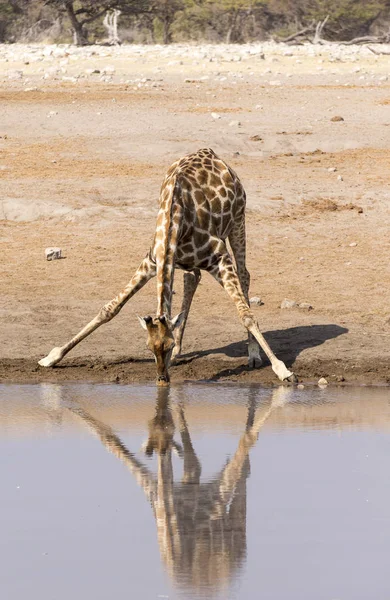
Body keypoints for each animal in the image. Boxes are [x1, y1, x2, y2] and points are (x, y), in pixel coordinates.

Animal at [38, 149, 296, 384]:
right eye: (148, 347)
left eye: (168, 346)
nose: (162, 378)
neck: (174, 220)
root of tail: (213, 154)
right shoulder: (152, 262)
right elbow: (110, 309)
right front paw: (52, 357)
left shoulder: (220, 258)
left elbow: (246, 315)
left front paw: (282, 370)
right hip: (188, 260)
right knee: (192, 278)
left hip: (238, 222)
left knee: (244, 275)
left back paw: (253, 356)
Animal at [66, 384, 290, 596]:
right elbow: (108, 438)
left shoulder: (216, 495)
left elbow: (247, 441)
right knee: (200, 464)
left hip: (233, 521)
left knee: (243, 473)